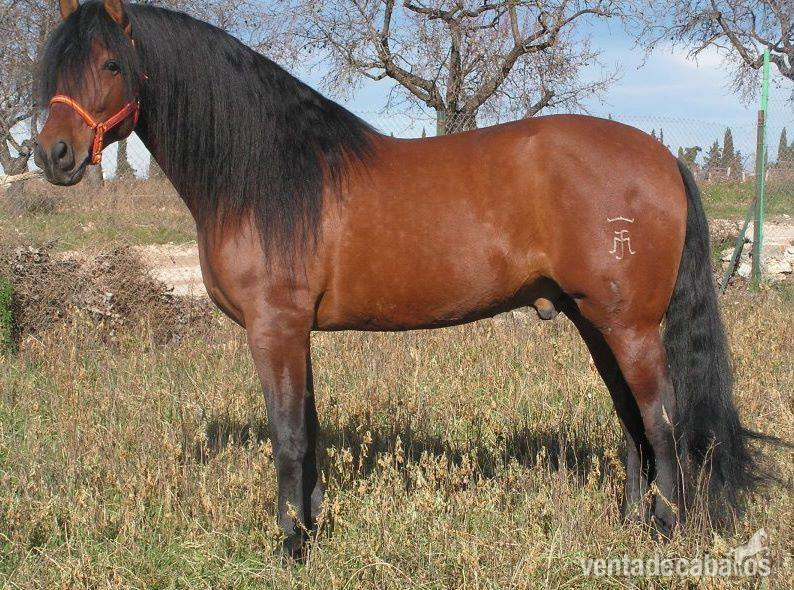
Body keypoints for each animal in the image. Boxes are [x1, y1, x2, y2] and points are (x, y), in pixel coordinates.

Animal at [35, 0, 760, 558]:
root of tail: (662, 156)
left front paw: (288, 547)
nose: (52, 154)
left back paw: (665, 530)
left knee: (660, 421)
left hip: (629, 325)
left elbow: (287, 438)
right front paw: (311, 530)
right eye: (53, 67)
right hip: (594, 319)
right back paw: (633, 523)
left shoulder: (274, 328)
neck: (271, 175)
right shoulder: (297, 333)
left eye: (110, 64)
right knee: (632, 421)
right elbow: (310, 432)